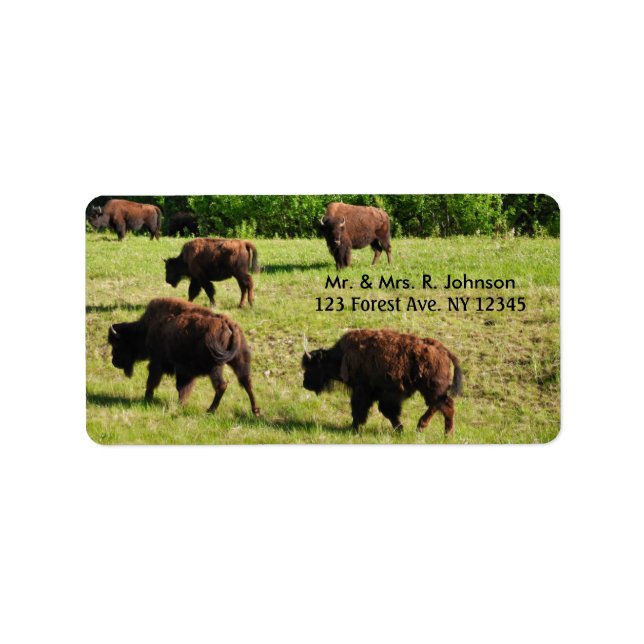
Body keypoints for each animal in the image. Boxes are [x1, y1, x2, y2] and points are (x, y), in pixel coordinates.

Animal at [107, 298, 260, 416]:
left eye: (118, 344)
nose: (114, 361)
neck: (147, 327)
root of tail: (227, 323)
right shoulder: (184, 371)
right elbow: (182, 387)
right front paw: (182, 403)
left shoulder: (158, 363)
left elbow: (153, 381)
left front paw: (148, 399)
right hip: (239, 361)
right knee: (247, 382)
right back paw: (256, 411)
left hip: (214, 366)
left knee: (221, 385)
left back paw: (210, 410)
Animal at [302, 329, 462, 435]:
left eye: (312, 366)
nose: (305, 384)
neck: (342, 356)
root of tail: (443, 350)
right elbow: (385, 412)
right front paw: (400, 429)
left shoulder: (364, 391)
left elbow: (362, 410)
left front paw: (354, 428)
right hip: (431, 391)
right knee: (439, 405)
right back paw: (424, 428)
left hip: (432, 389)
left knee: (445, 405)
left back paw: (445, 433)